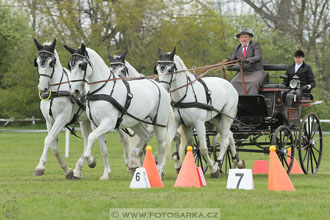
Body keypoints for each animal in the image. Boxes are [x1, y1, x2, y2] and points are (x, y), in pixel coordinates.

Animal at [33, 38, 109, 180]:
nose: (42, 88)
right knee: (87, 141)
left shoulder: (62, 118)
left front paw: (40, 167)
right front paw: (67, 170)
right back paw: (81, 167)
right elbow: (53, 146)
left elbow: (48, 140)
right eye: (37, 62)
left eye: (51, 63)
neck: (55, 91)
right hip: (86, 121)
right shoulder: (49, 121)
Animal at [62, 43, 174, 174]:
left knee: (162, 144)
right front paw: (104, 172)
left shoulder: (108, 123)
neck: (102, 90)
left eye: (82, 65)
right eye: (70, 65)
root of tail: (160, 86)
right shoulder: (96, 124)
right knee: (145, 136)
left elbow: (91, 137)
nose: (75, 91)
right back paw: (134, 155)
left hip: (159, 123)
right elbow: (103, 149)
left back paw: (158, 169)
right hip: (136, 122)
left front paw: (90, 160)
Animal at [156, 47, 244, 177]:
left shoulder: (199, 123)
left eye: (170, 69)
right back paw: (237, 161)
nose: (162, 89)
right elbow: (182, 145)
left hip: (227, 117)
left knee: (225, 140)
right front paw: (163, 170)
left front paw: (213, 168)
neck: (185, 95)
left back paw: (218, 164)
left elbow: (203, 148)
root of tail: (229, 84)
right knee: (229, 135)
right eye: (157, 69)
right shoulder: (178, 123)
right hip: (216, 118)